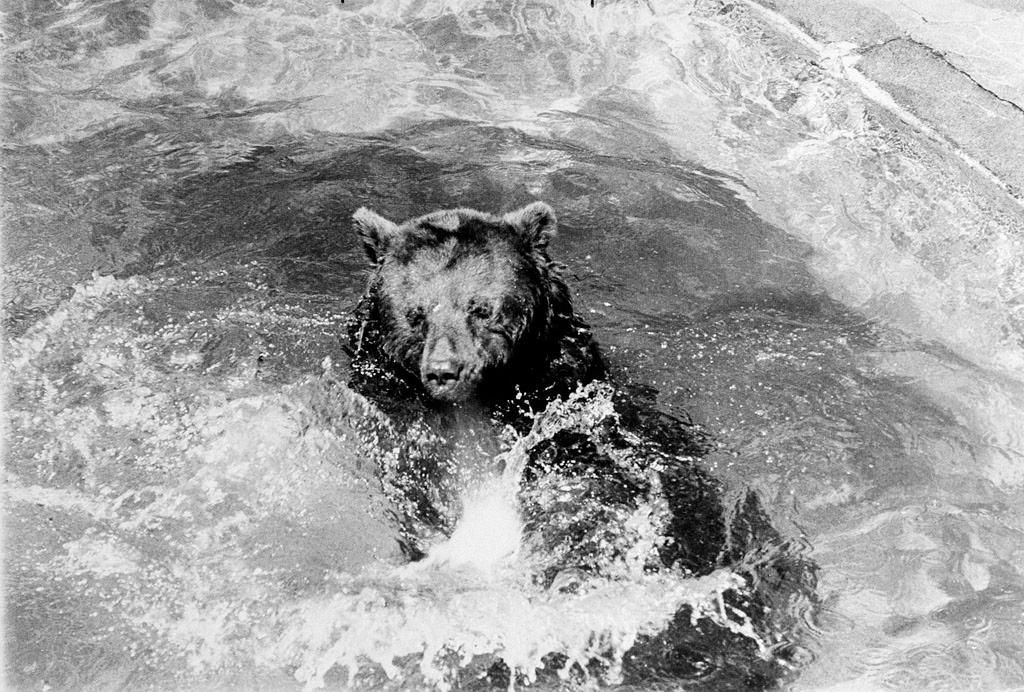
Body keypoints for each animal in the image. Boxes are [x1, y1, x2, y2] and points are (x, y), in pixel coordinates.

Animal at [344, 202, 816, 689]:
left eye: (481, 307)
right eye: (415, 312)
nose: (444, 370)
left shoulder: (574, 430)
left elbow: (585, 503)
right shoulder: (402, 431)